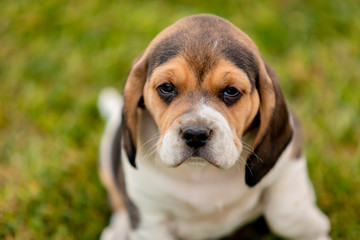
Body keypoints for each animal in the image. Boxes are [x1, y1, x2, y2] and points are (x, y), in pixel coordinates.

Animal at [97, 14, 330, 240]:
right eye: (166, 87)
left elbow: (285, 214)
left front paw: (315, 227)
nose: (195, 134)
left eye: (231, 91)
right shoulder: (150, 216)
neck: (202, 174)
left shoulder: (289, 158)